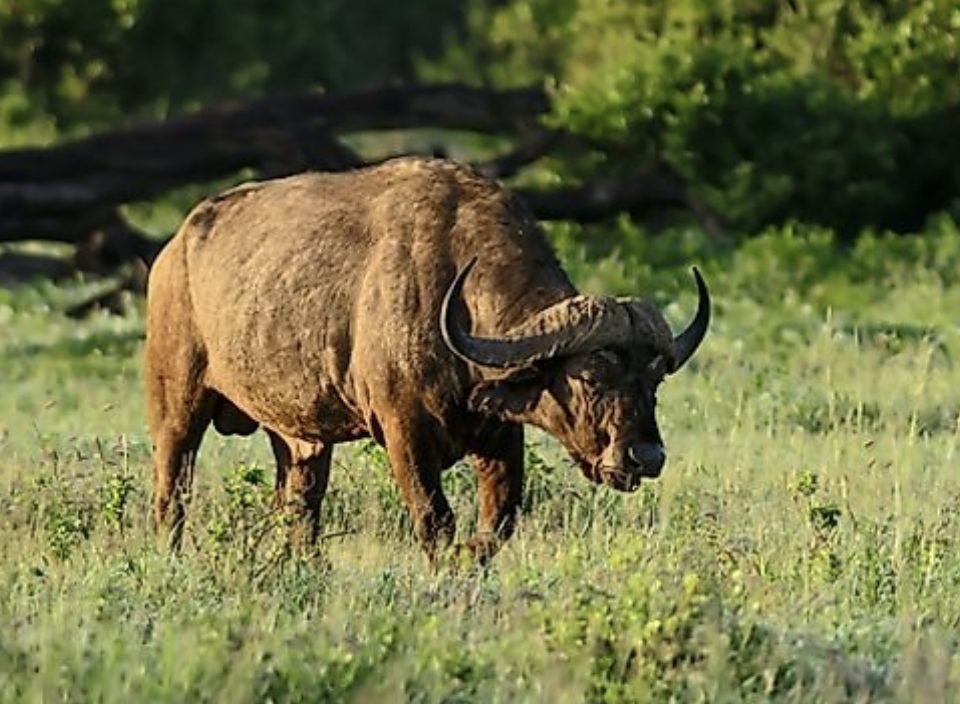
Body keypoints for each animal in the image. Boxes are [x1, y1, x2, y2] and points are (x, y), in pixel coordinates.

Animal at [146, 155, 708, 560]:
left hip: (299, 440)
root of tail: (175, 249)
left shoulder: (500, 437)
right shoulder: (405, 433)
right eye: (590, 376)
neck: (453, 301)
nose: (645, 456)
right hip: (176, 413)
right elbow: (437, 522)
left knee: (299, 511)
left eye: (654, 380)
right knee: (171, 496)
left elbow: (497, 525)